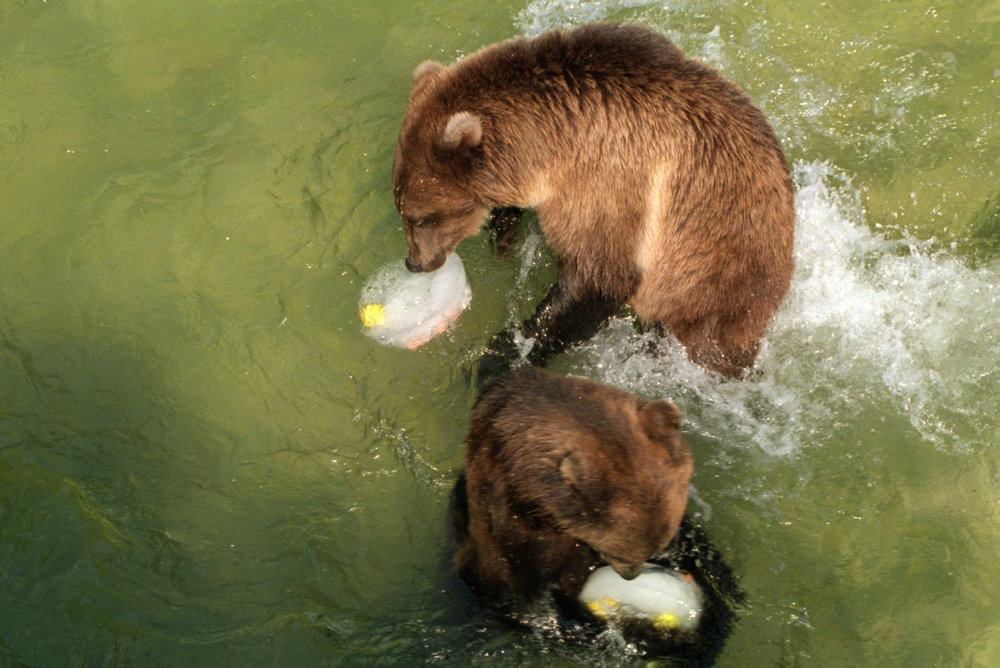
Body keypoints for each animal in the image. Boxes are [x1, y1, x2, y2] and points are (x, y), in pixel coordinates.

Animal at [394, 22, 792, 380]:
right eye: (403, 211)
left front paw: (501, 355)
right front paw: (502, 229)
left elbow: (598, 277)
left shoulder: (611, 180)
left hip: (717, 283)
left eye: (421, 218)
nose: (415, 262)